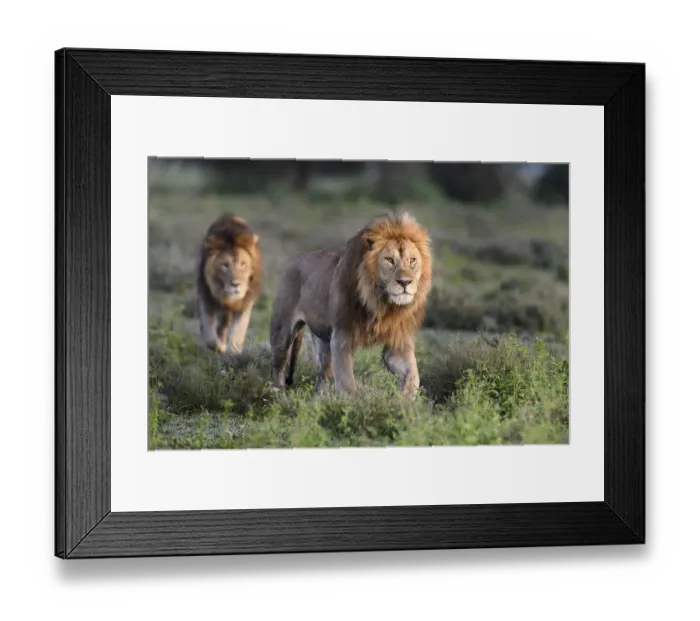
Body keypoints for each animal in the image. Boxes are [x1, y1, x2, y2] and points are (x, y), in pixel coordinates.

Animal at [196, 214, 262, 354]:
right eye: (225, 265)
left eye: (243, 264)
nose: (235, 284)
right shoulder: (206, 297)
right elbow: (209, 327)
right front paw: (217, 346)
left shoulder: (245, 303)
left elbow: (238, 330)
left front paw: (234, 352)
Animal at [269, 212, 432, 396]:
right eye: (390, 260)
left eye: (412, 260)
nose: (405, 282)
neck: (381, 304)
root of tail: (296, 259)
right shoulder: (342, 336)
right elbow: (346, 381)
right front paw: (353, 402)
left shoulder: (397, 340)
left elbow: (412, 374)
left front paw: (406, 399)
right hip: (283, 330)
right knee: (278, 364)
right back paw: (277, 393)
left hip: (323, 339)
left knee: (322, 376)